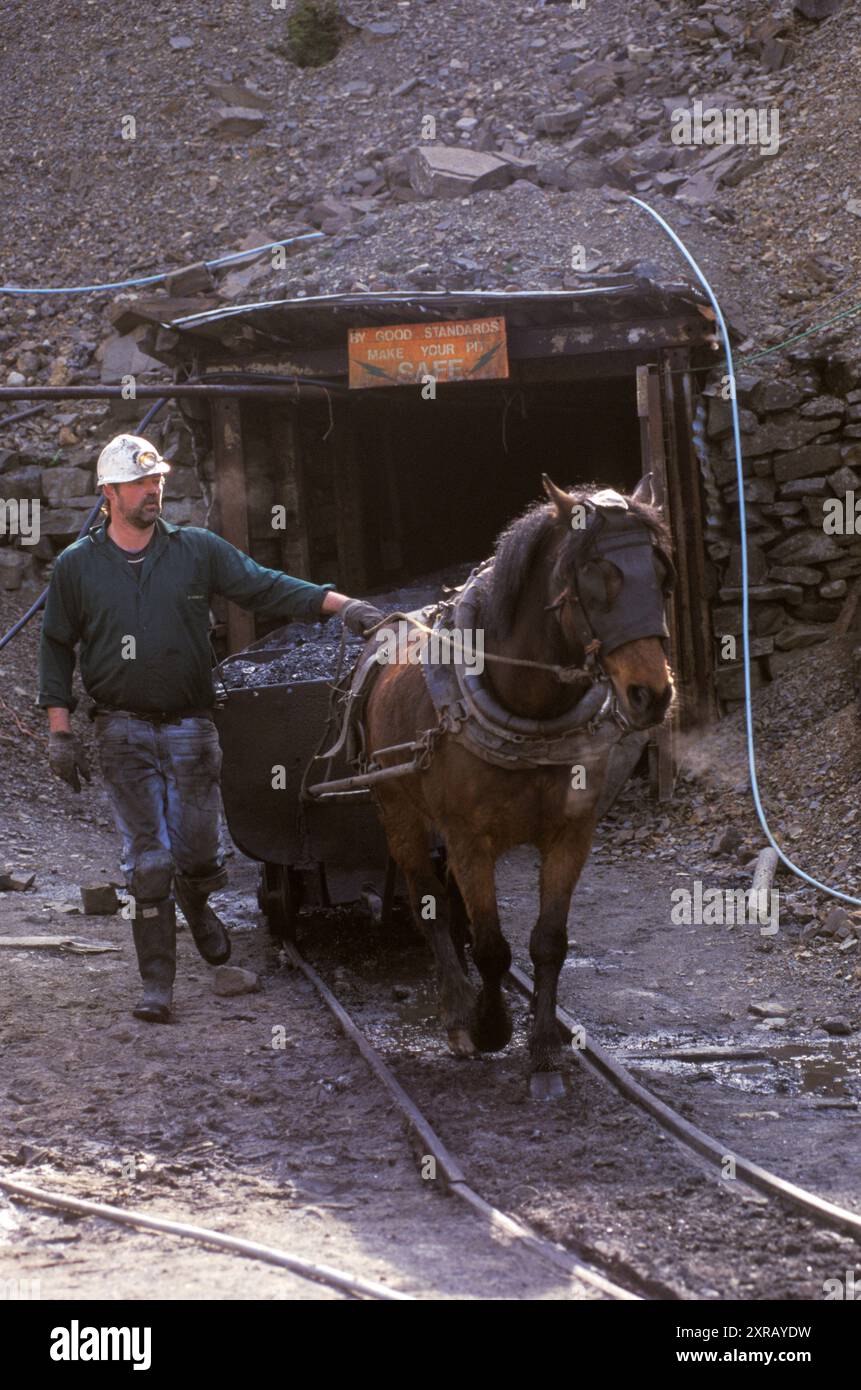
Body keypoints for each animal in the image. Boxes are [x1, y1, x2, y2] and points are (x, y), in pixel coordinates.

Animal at [361, 478, 673, 1095]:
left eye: (660, 569)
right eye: (595, 573)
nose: (652, 694)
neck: (530, 710)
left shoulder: (571, 834)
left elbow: (548, 943)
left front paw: (545, 1049)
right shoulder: (468, 841)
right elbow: (491, 947)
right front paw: (490, 1027)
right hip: (398, 812)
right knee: (430, 904)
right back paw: (457, 1014)